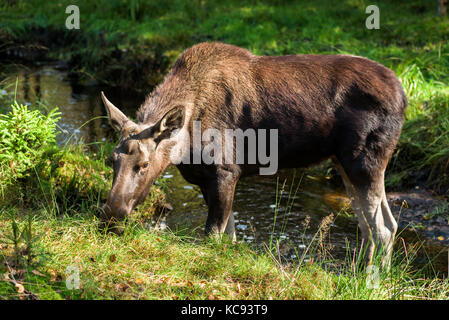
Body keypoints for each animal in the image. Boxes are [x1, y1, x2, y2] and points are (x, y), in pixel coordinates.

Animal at [100, 41, 406, 264]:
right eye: (111, 160)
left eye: (144, 164)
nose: (113, 212)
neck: (185, 145)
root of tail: (404, 97)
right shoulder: (207, 179)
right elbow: (230, 237)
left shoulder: (225, 172)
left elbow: (213, 236)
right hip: (346, 164)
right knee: (377, 226)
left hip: (363, 162)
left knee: (381, 229)